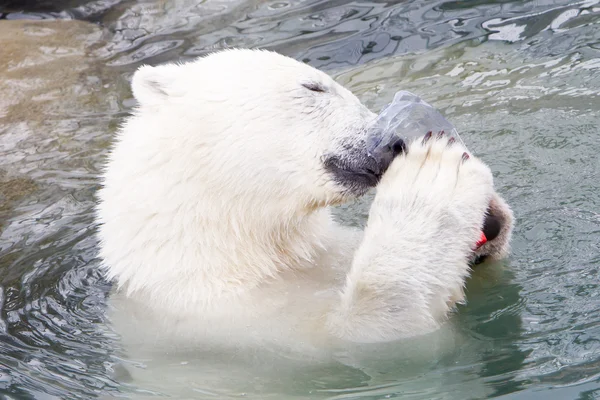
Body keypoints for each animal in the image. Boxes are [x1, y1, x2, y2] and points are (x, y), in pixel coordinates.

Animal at [96, 48, 512, 348]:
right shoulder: (240, 323)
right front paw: (434, 176)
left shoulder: (322, 252)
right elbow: (371, 330)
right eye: (314, 87)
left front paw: (490, 219)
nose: (391, 139)